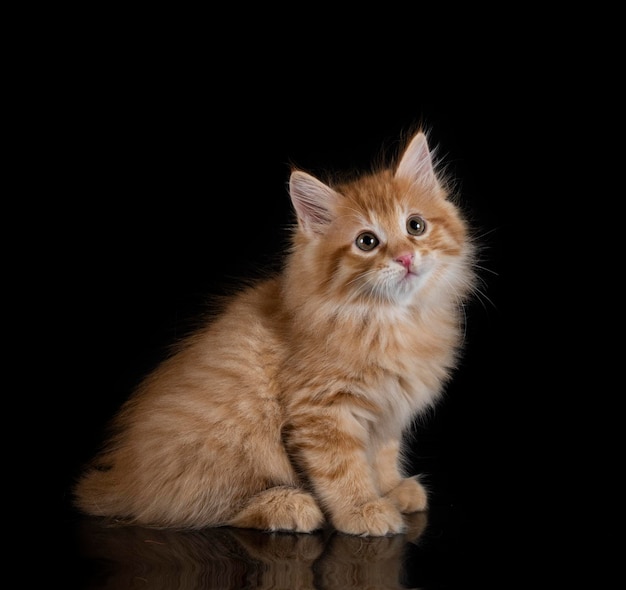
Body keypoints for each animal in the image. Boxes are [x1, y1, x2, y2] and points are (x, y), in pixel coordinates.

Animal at [73, 130, 476, 536]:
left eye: (415, 226)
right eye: (367, 242)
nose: (406, 258)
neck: (389, 320)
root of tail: (124, 479)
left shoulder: (386, 414)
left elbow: (382, 455)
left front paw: (391, 489)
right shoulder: (322, 411)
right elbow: (342, 468)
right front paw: (362, 508)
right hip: (235, 441)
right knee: (196, 509)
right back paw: (288, 505)